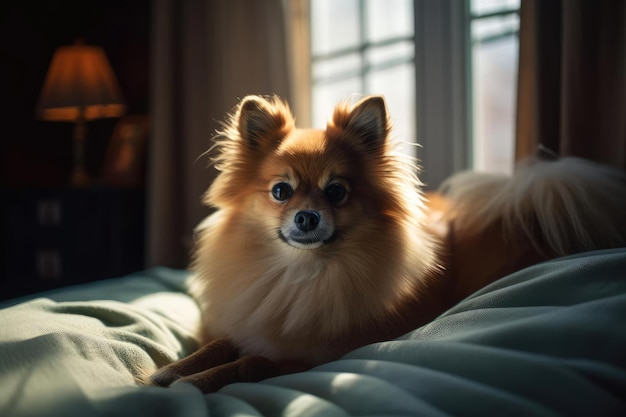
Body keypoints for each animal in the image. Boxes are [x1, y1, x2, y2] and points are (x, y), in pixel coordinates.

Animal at [150, 93, 624, 390]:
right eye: (281, 191)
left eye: (336, 192)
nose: (307, 217)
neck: (301, 274)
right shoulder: (251, 321)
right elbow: (221, 343)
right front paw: (175, 369)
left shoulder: (311, 357)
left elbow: (251, 362)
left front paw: (196, 381)